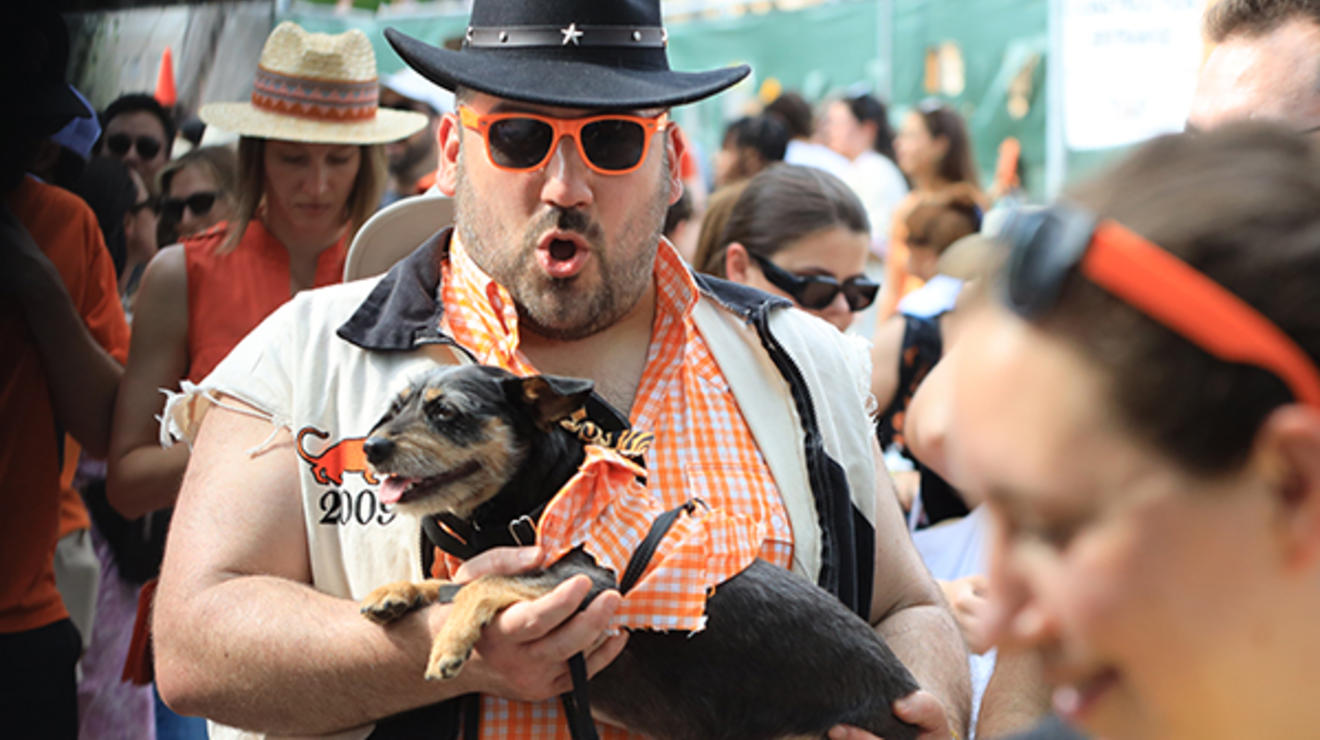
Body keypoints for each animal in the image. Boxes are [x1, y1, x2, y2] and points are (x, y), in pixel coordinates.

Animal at [359, 364, 918, 738]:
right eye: (394, 409)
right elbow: (450, 582)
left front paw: (449, 644)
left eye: (445, 412)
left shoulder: (591, 581)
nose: (371, 447)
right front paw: (397, 591)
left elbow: (484, 582)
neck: (537, 506)